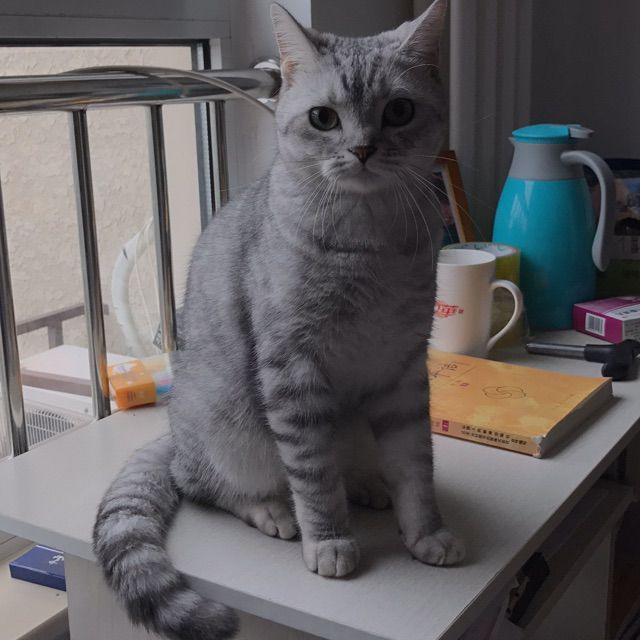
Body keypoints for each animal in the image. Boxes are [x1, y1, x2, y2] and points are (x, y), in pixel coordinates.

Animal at [93, 2, 464, 639]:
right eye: (323, 118)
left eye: (399, 111)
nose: (363, 149)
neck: (369, 244)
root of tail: (173, 432)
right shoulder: (294, 369)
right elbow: (313, 475)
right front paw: (330, 539)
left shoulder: (403, 368)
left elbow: (415, 465)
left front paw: (426, 532)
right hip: (229, 430)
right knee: (207, 485)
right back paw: (272, 509)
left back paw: (366, 485)